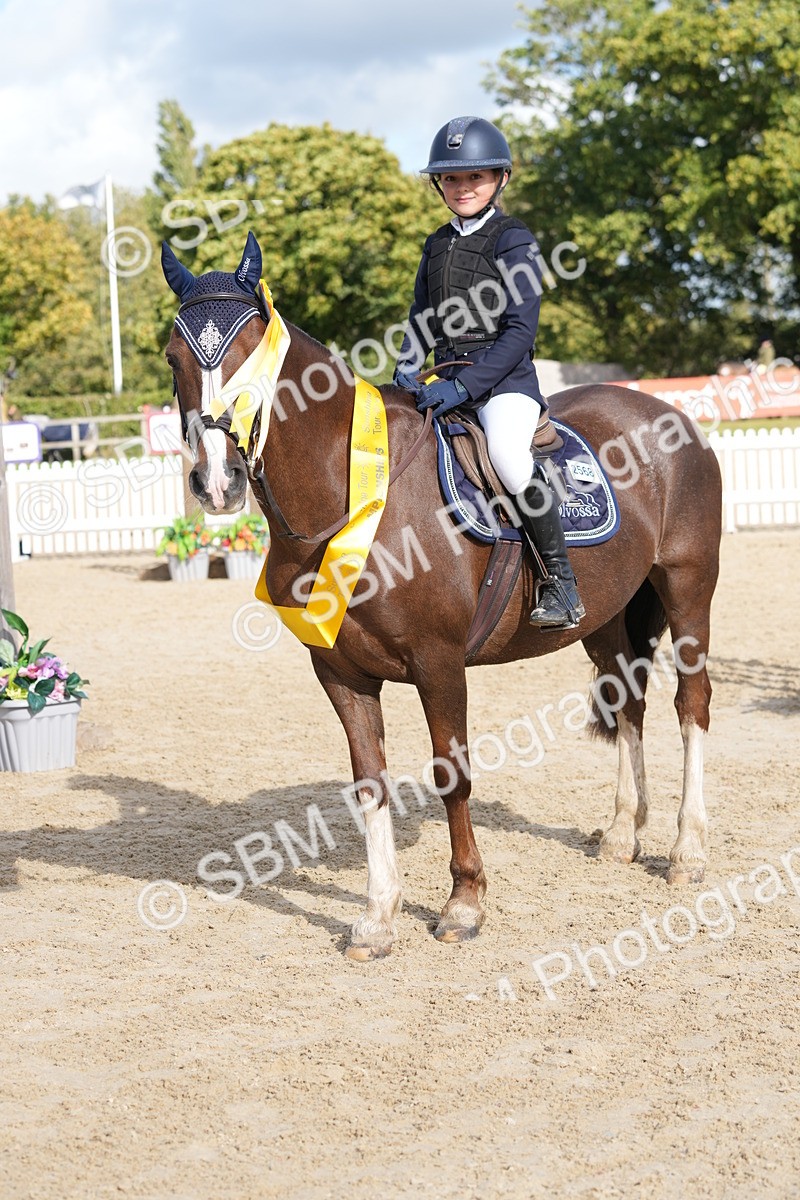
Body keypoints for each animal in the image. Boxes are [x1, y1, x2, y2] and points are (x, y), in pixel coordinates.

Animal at [162, 232, 722, 961]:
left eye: (252, 347)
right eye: (173, 358)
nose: (218, 480)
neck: (351, 493)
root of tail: (668, 413)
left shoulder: (439, 663)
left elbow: (451, 774)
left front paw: (463, 904)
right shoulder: (340, 673)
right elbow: (369, 781)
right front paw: (377, 917)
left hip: (687, 590)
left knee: (692, 704)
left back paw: (688, 851)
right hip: (605, 618)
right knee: (629, 702)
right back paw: (623, 836)